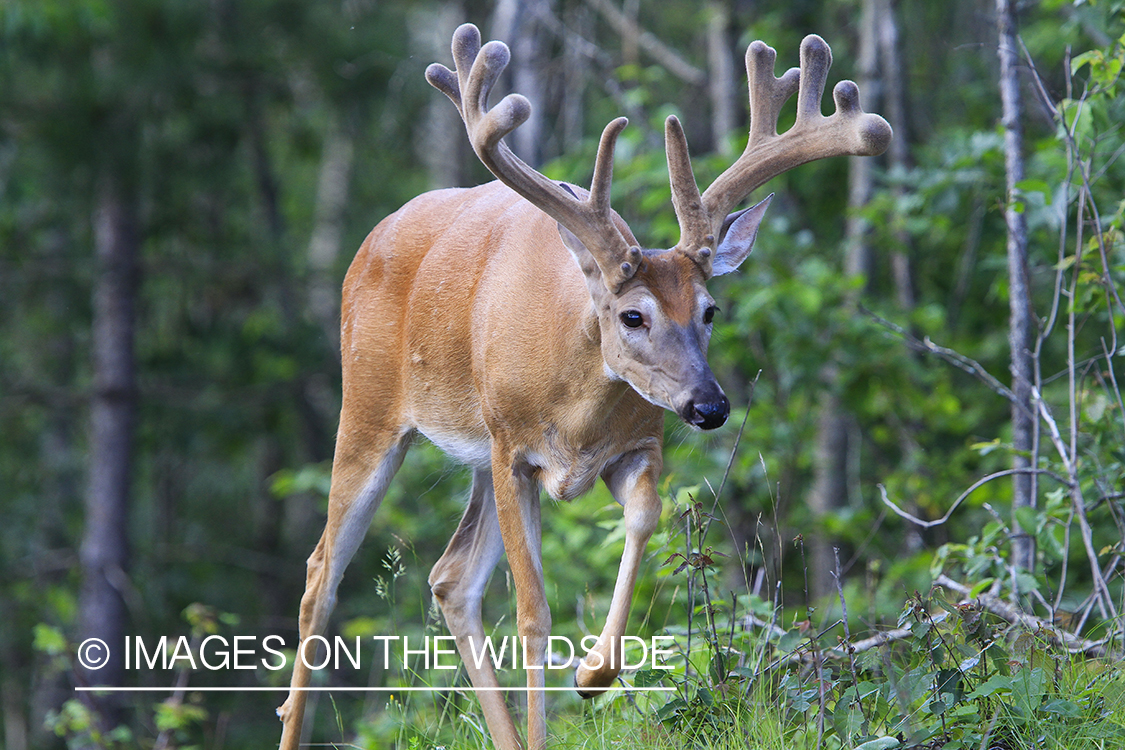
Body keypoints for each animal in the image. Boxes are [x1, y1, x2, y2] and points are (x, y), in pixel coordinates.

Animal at [277, 22, 890, 750]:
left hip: (472, 455)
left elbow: (644, 517)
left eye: (710, 310)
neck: (575, 412)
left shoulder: (638, 445)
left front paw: (594, 673)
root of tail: (369, 242)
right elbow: (533, 612)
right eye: (633, 315)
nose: (710, 405)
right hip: (372, 407)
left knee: (449, 579)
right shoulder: (513, 448)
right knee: (321, 572)